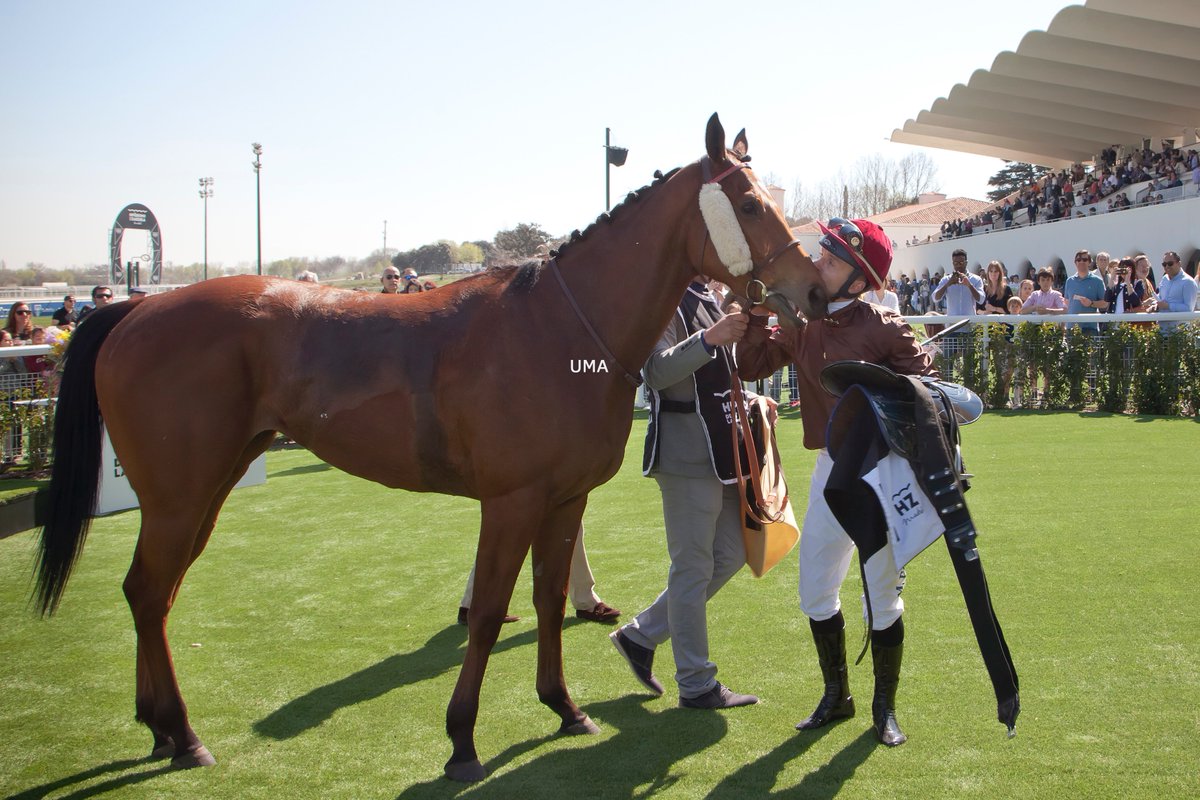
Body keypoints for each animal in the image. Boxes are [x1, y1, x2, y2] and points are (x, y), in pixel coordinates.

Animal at [35, 113, 825, 782]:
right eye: (749, 203)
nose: (814, 291)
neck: (558, 328)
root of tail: (135, 309)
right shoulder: (510, 502)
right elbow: (488, 614)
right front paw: (463, 742)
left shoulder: (563, 499)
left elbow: (546, 600)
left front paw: (564, 708)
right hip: (180, 496)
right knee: (147, 591)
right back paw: (184, 734)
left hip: (205, 489)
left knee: (154, 595)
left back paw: (161, 729)